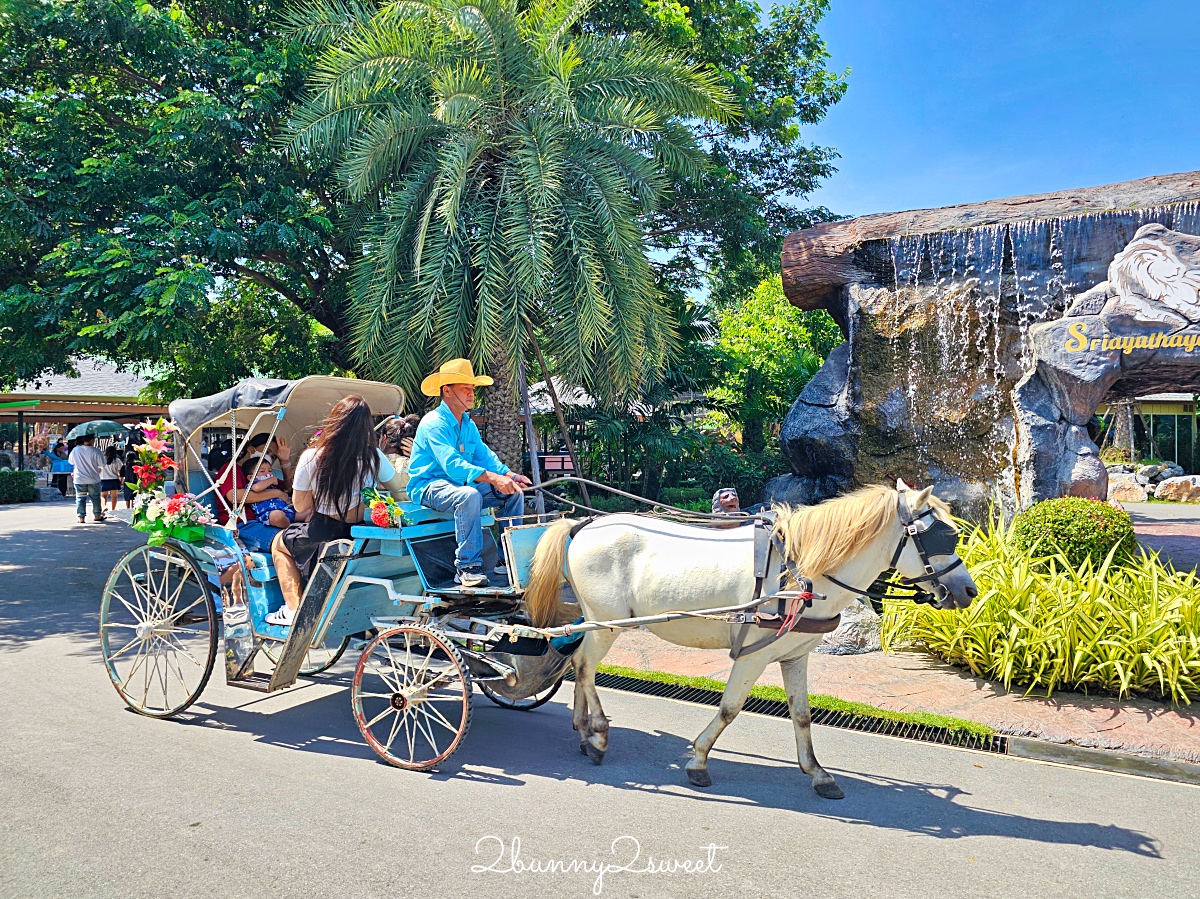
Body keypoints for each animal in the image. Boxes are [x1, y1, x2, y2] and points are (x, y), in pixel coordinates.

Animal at [525, 480, 974, 796]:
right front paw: (699, 761)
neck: (801, 573)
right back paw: (598, 734)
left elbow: (802, 715)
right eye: (943, 536)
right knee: (585, 667)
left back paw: (583, 730)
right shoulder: (753, 655)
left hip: (594, 622)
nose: (969, 590)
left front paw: (818, 773)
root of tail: (584, 524)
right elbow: (729, 709)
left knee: (580, 663)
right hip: (608, 623)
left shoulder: (795, 656)